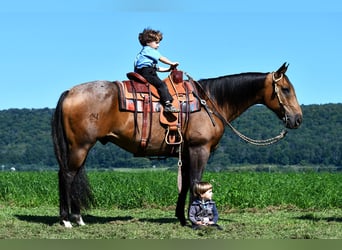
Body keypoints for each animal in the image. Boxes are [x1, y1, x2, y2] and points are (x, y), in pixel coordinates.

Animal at [50, 62, 302, 227]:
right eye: (286, 89)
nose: (297, 119)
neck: (210, 101)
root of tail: (70, 92)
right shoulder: (200, 149)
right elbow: (196, 181)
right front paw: (195, 219)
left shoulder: (187, 152)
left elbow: (185, 184)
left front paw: (181, 216)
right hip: (80, 146)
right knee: (67, 176)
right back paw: (67, 220)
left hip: (80, 147)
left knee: (72, 176)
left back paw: (77, 218)